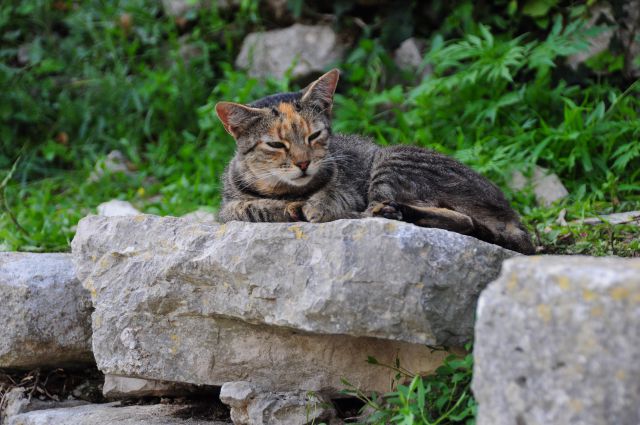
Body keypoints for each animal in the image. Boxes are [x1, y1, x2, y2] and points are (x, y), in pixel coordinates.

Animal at [215, 68, 536, 253]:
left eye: (314, 135)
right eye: (275, 144)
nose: (303, 163)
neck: (288, 190)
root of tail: (514, 217)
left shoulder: (349, 184)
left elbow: (331, 195)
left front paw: (315, 206)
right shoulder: (227, 209)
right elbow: (248, 207)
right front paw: (285, 207)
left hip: (391, 159)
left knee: (458, 220)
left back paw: (389, 211)